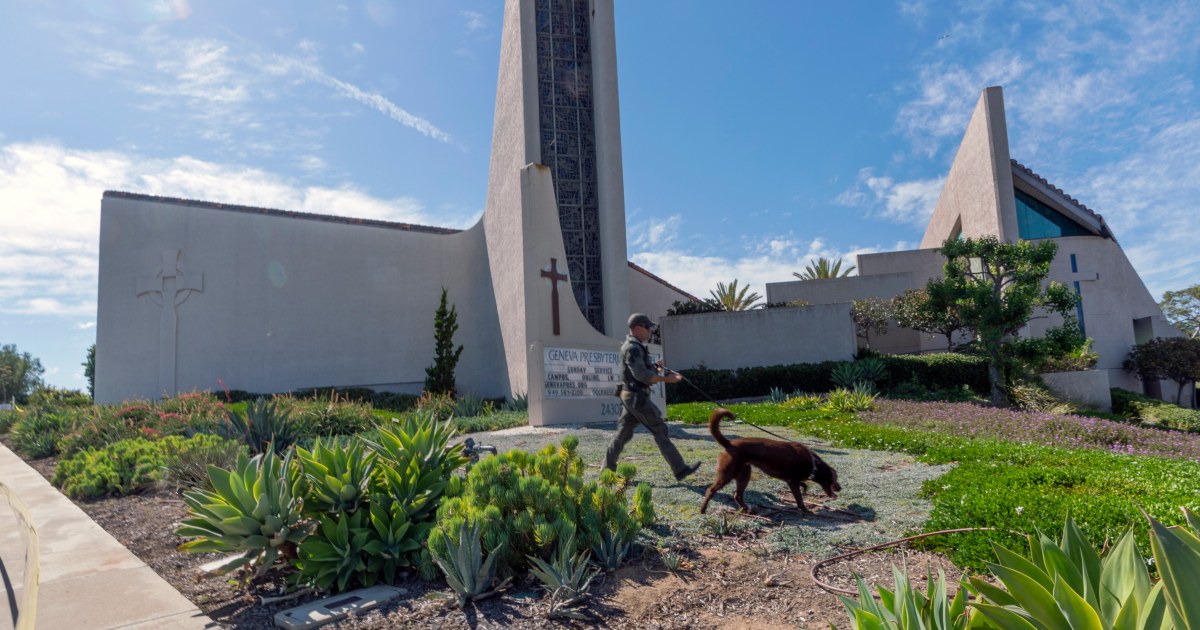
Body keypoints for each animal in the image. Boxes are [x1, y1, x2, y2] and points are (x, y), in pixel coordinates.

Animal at [700, 408, 840, 511]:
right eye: (834, 478)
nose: (840, 488)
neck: (813, 464)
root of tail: (729, 443)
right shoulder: (793, 481)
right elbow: (799, 498)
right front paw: (805, 509)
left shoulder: (791, 480)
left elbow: (802, 486)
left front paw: (805, 490)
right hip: (727, 474)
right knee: (711, 490)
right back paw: (703, 509)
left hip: (744, 474)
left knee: (737, 495)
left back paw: (747, 509)